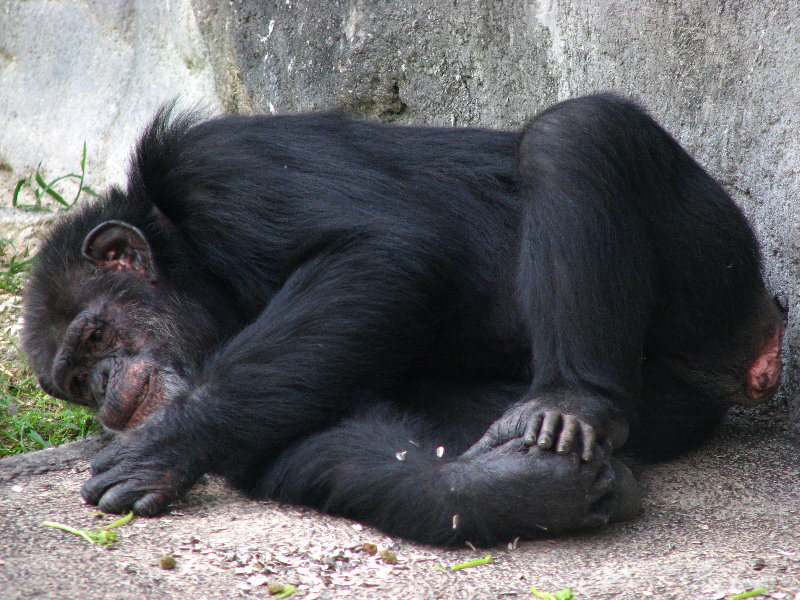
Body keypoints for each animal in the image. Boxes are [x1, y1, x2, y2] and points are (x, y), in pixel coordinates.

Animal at [23, 95, 780, 548]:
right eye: (77, 383)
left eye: (95, 337)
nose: (106, 389)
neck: (202, 269)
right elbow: (346, 447)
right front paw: (526, 490)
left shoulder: (226, 167)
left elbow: (381, 252)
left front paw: (159, 446)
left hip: (717, 275)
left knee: (575, 133)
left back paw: (570, 404)